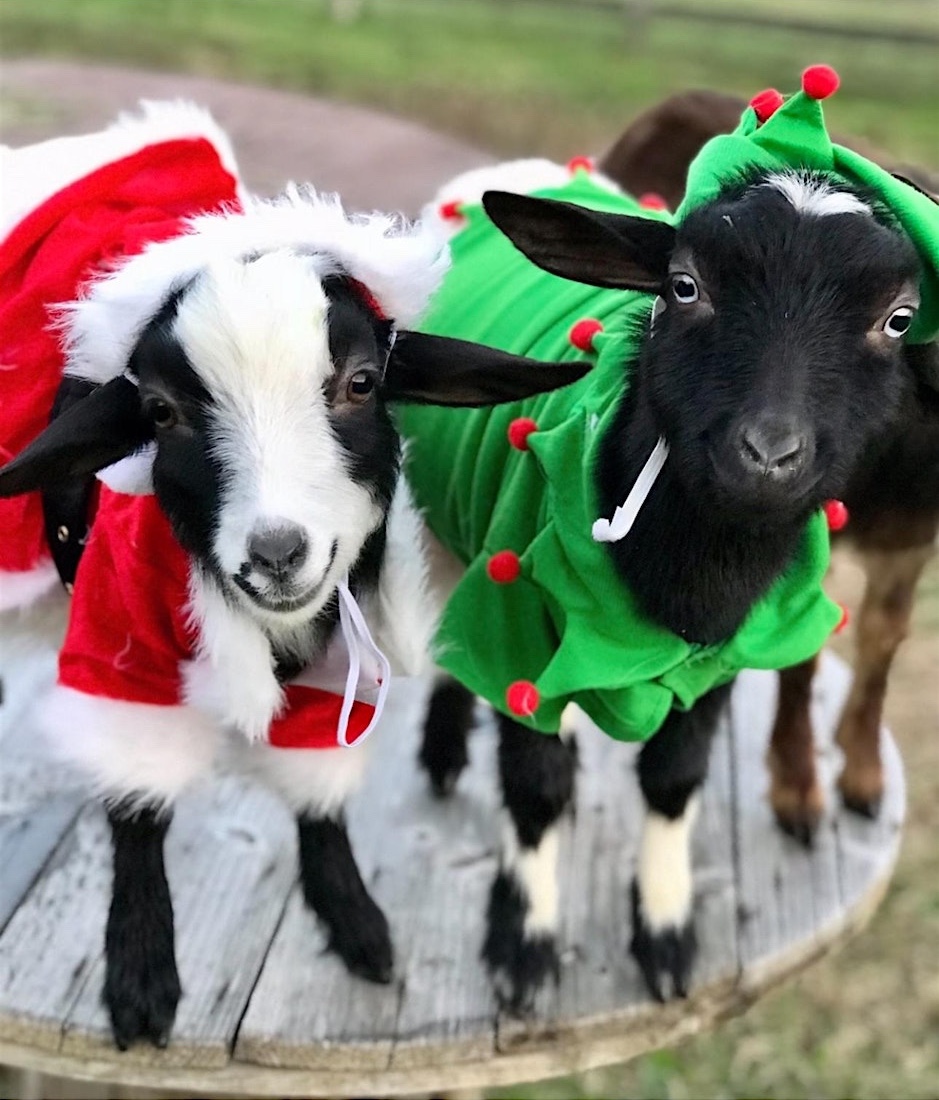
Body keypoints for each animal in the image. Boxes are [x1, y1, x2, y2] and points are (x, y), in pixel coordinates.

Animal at [0, 102, 586, 1049]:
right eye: (159, 412)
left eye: (361, 383)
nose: (276, 555)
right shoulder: (117, 641)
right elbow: (137, 809)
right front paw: (140, 976)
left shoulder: (339, 645)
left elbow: (320, 797)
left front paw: (356, 924)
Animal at [599, 88, 939, 841]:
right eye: (685, 285)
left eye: (899, 318)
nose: (768, 453)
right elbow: (804, 654)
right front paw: (798, 790)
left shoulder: (913, 534)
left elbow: (883, 639)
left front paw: (862, 774)